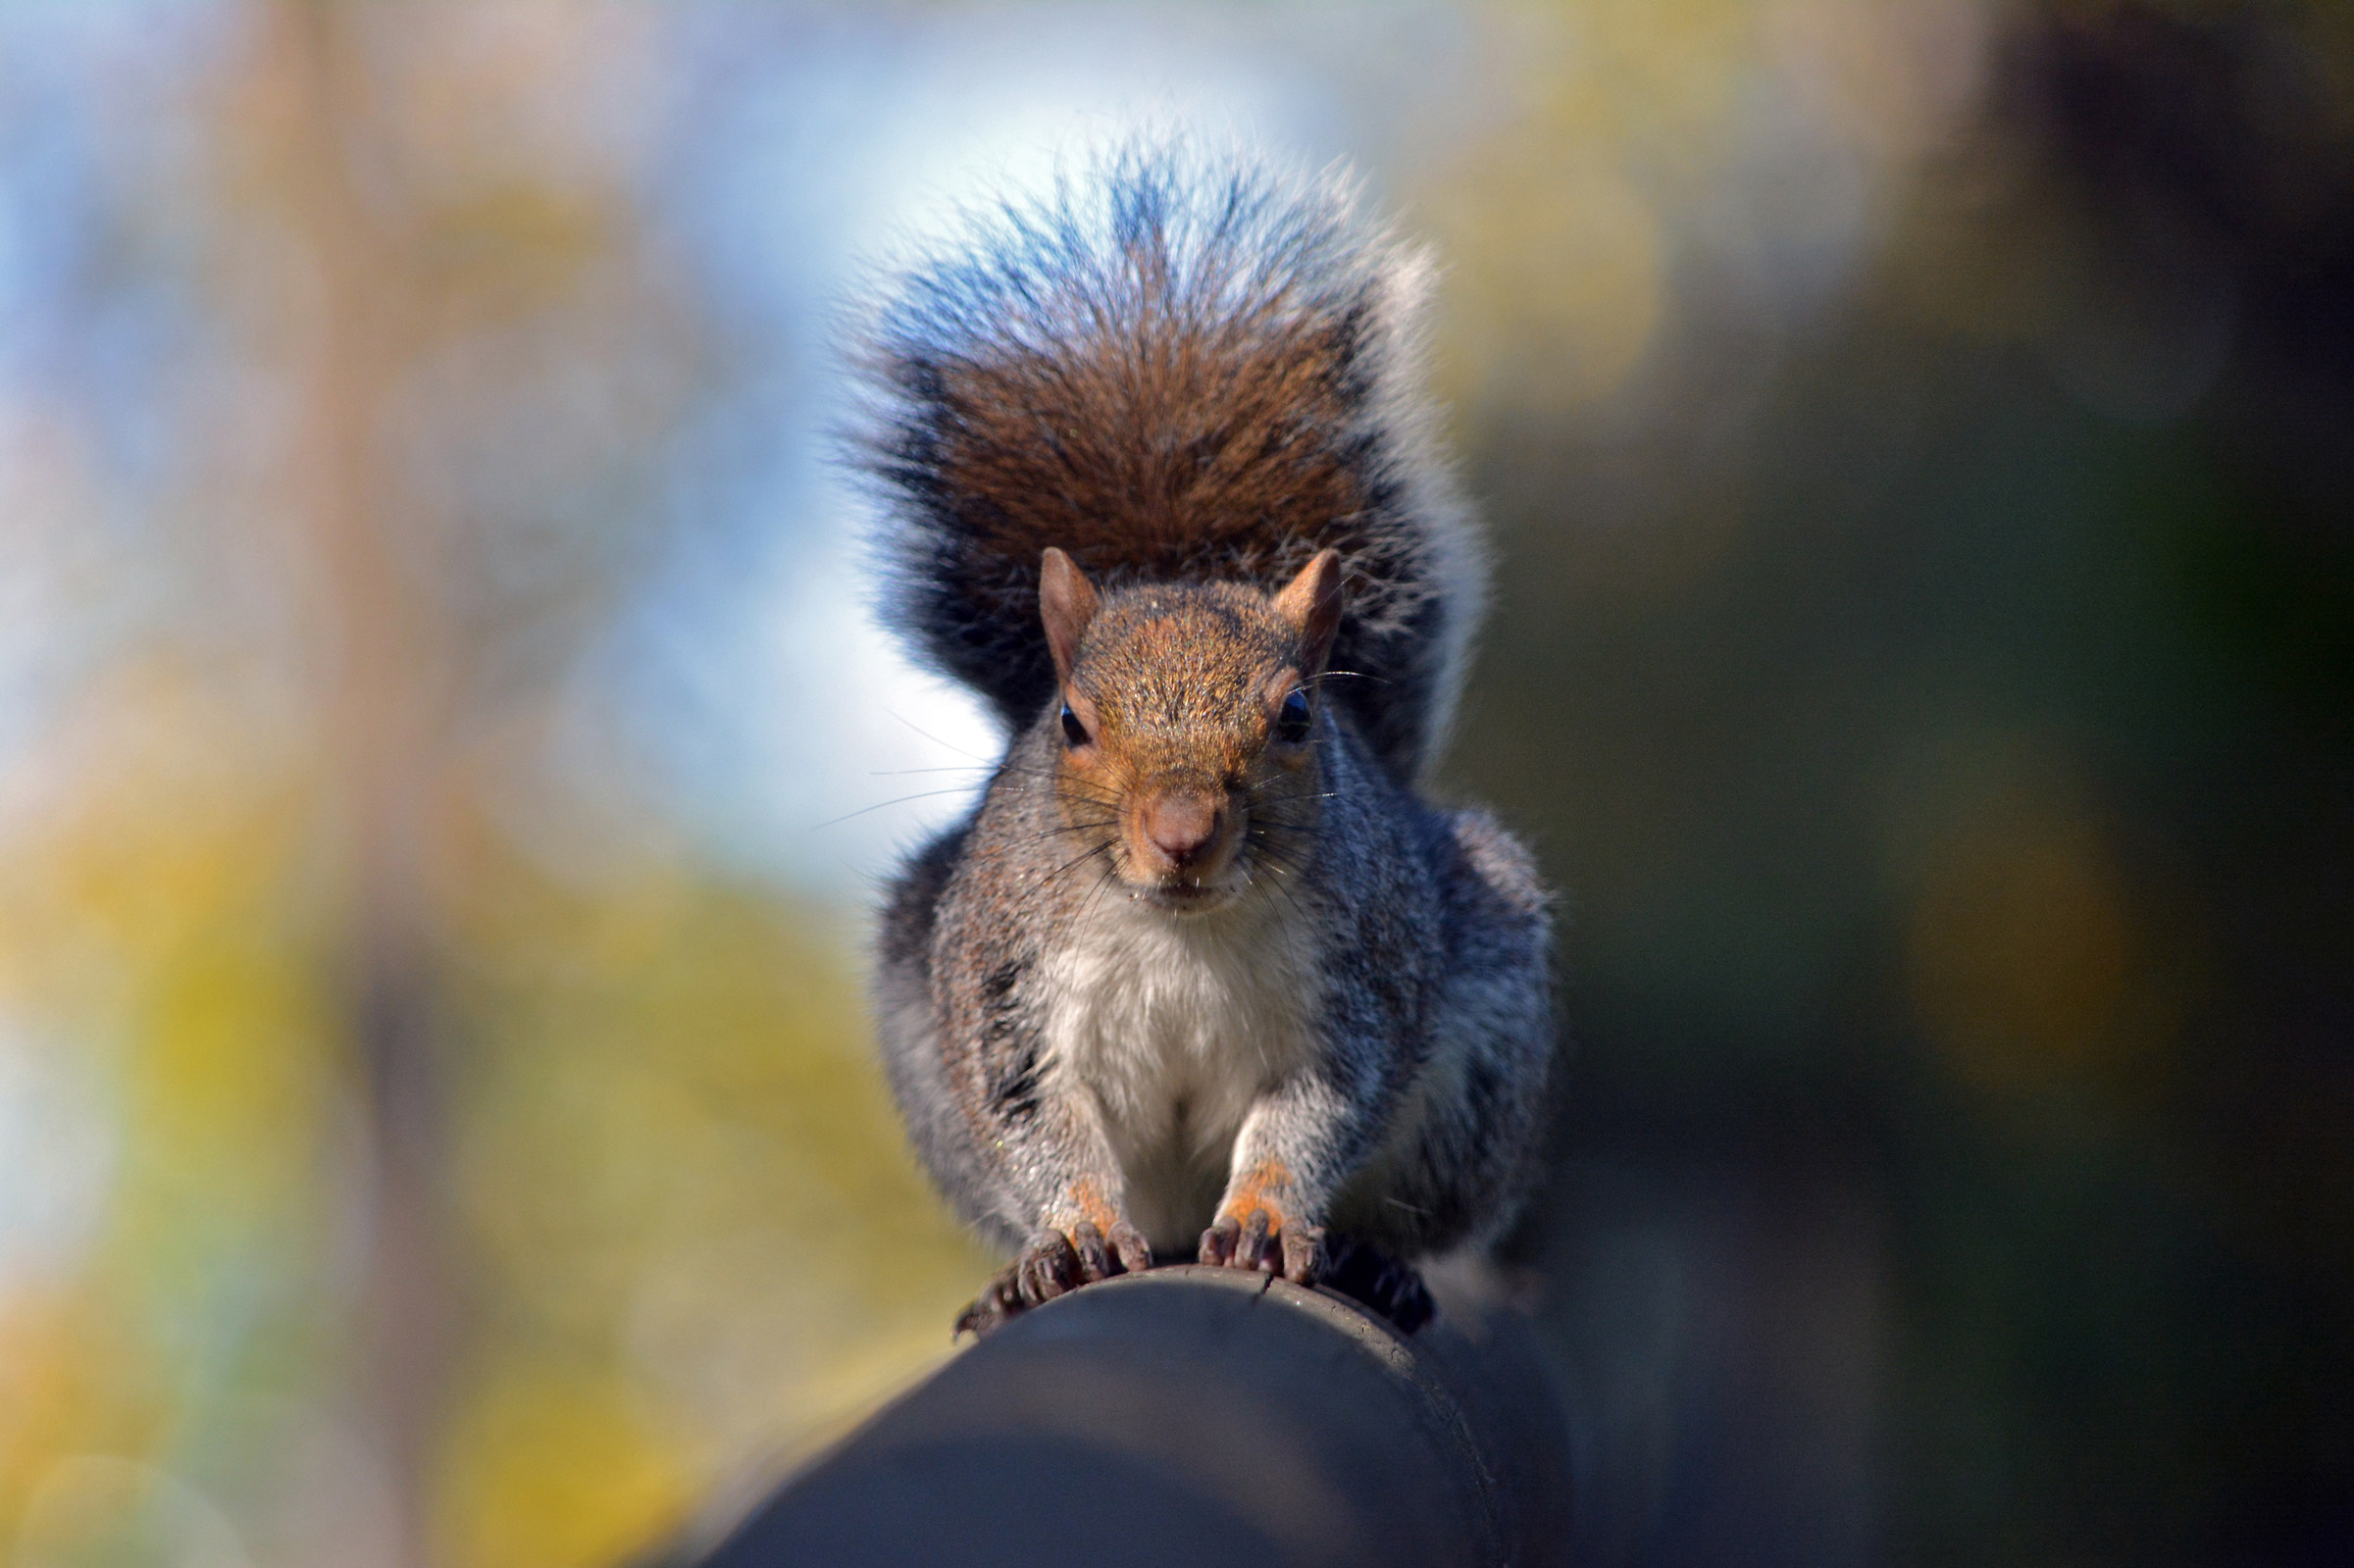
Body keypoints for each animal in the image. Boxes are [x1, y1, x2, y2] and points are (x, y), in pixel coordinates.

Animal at [855, 145, 1554, 1337]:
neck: (1177, 930)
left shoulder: (1361, 989)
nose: (1183, 833)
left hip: (1480, 1079)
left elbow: (1309, 1118)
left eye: (1297, 717)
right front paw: (1075, 1234)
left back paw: (1375, 1264)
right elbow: (1039, 1125)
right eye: (1072, 723)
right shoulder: (1002, 993)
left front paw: (1269, 1216)